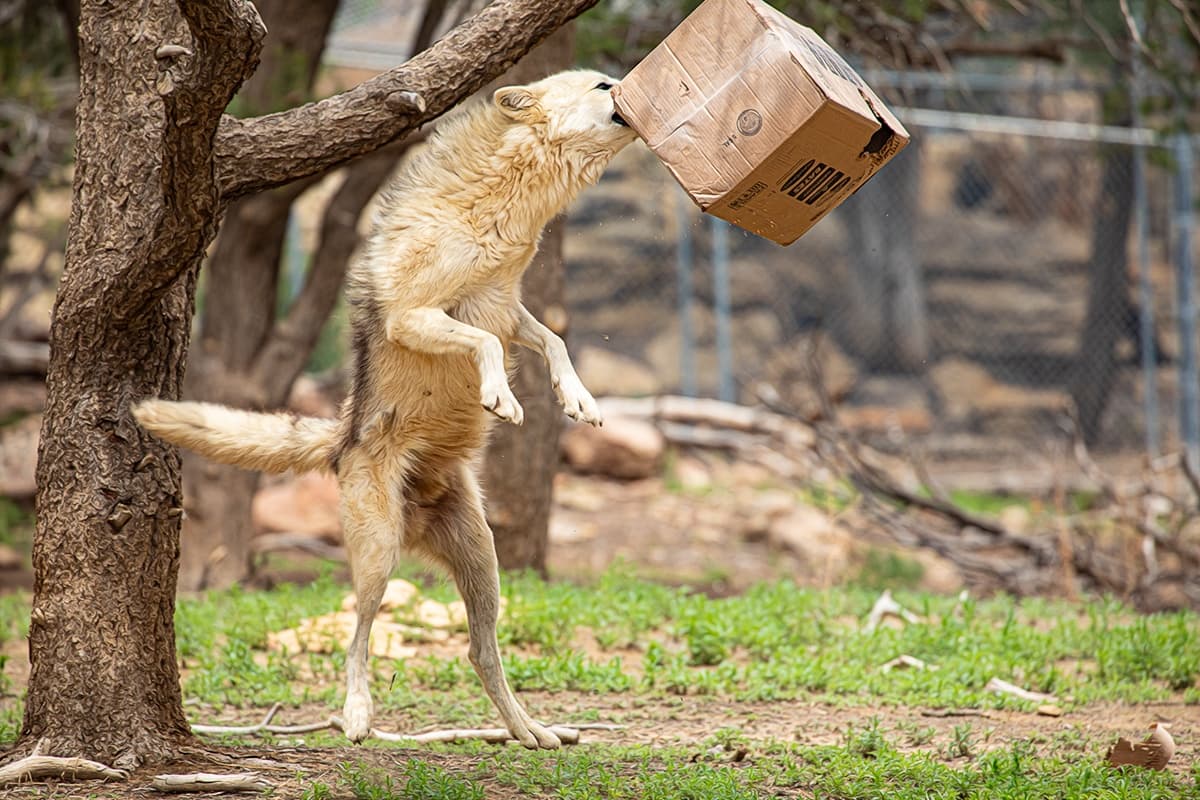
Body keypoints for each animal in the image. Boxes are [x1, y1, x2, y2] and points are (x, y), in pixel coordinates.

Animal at [133, 69, 637, 749]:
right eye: (602, 84)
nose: (630, 86)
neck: (500, 208)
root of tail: (342, 440)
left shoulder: (506, 310)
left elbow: (554, 340)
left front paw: (576, 398)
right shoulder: (421, 318)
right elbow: (484, 346)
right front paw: (501, 397)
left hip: (484, 562)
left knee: (481, 652)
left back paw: (530, 731)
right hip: (378, 557)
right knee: (357, 635)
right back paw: (357, 715)